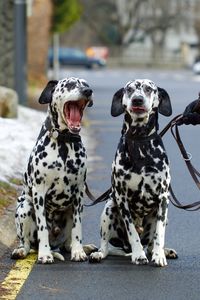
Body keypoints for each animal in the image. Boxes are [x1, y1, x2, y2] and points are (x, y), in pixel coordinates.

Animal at [11, 77, 95, 262]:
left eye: (86, 84)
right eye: (70, 85)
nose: (88, 91)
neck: (63, 143)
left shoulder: (79, 193)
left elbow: (77, 228)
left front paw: (78, 251)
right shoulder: (39, 192)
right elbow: (43, 227)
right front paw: (44, 254)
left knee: (67, 244)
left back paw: (83, 248)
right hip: (25, 206)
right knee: (26, 243)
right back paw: (24, 250)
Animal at [90, 78, 177, 266]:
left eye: (149, 89)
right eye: (129, 89)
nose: (137, 100)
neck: (139, 143)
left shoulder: (163, 199)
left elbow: (159, 234)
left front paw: (159, 256)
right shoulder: (122, 199)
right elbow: (132, 232)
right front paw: (138, 255)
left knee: (151, 244)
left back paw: (163, 251)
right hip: (109, 208)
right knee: (105, 245)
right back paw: (99, 253)